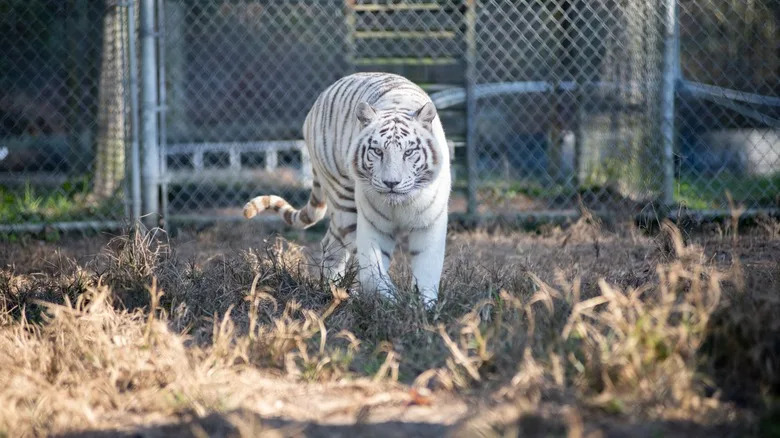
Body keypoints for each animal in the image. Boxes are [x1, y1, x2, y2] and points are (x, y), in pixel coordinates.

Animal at [243, 72, 451, 305]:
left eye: (409, 152)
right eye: (377, 151)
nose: (391, 183)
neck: (401, 205)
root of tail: (322, 96)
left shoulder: (430, 224)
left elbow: (427, 269)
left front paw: (424, 308)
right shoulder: (372, 225)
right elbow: (372, 269)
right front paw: (390, 300)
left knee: (330, 243)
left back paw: (331, 288)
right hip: (343, 199)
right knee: (340, 243)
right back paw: (338, 290)